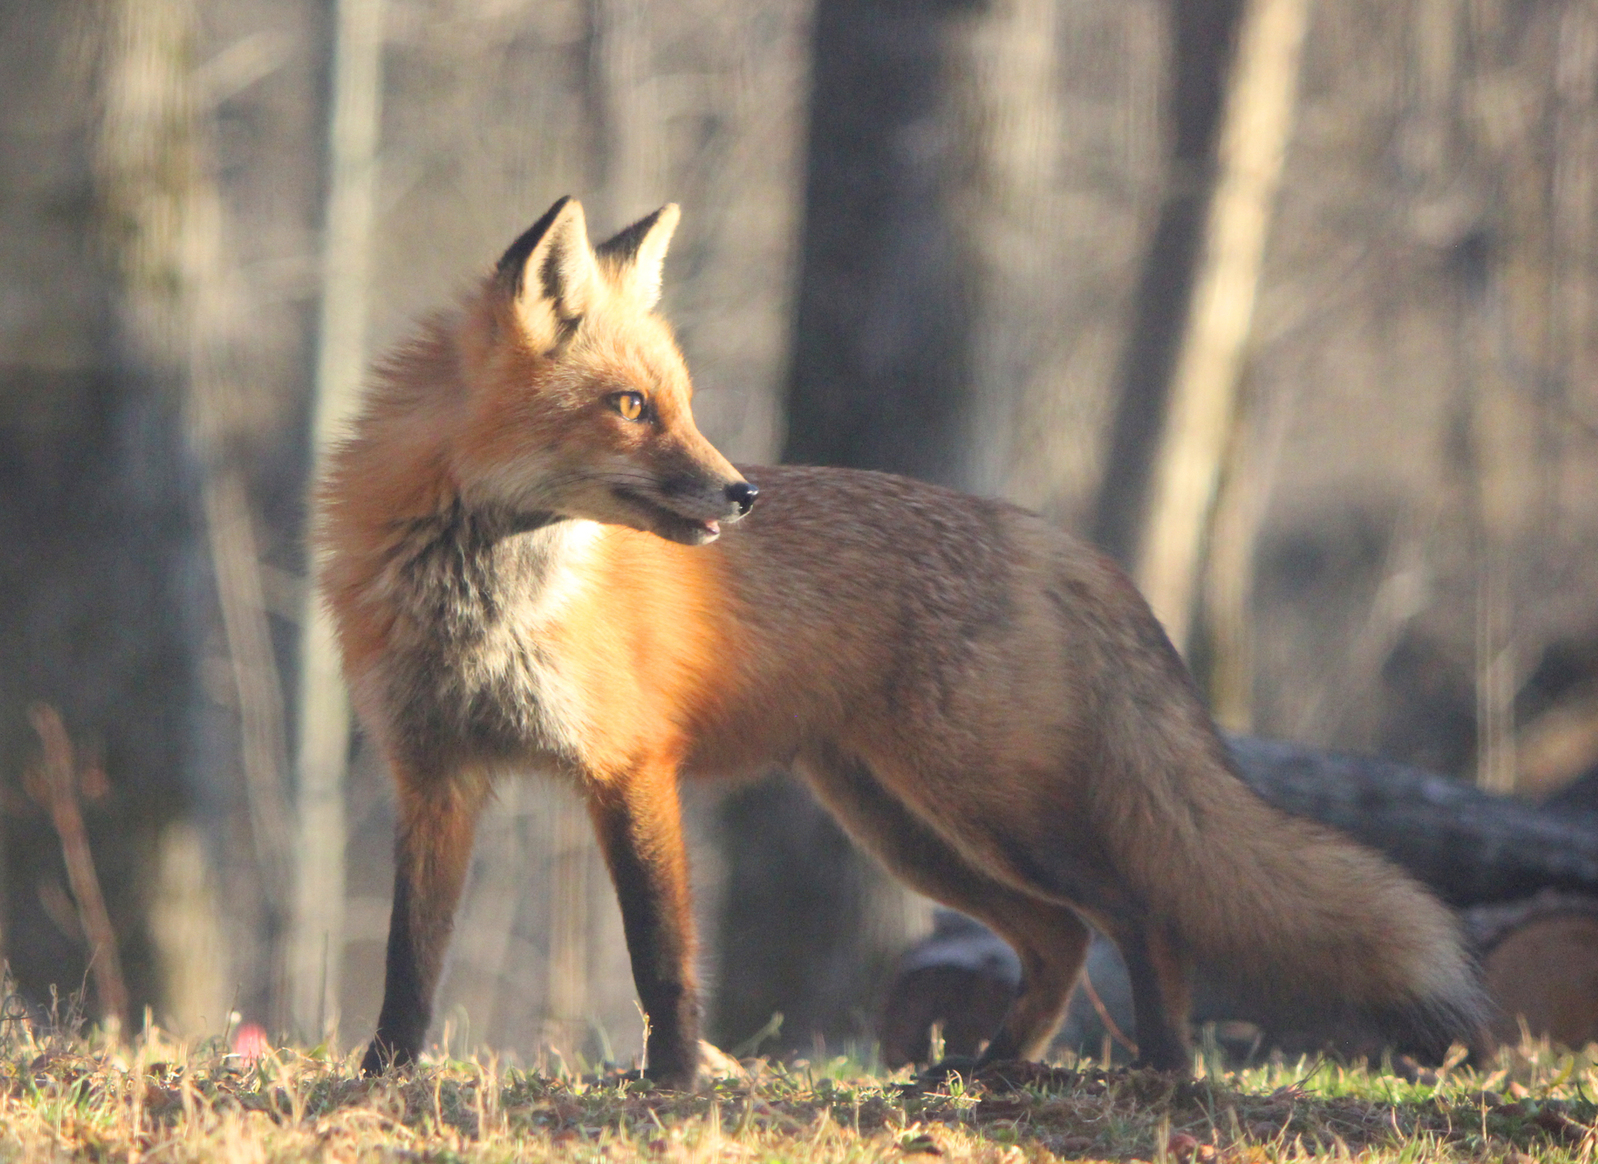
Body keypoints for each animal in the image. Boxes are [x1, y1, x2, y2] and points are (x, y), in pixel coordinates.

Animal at [321, 197, 1482, 1080]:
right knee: (1059, 935)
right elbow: (408, 963)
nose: (741, 494)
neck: (484, 596)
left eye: (678, 405)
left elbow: (661, 959)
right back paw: (996, 1067)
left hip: (986, 808)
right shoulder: (434, 777)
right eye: (630, 406)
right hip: (904, 828)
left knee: (1139, 911)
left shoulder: (631, 769)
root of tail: (1047, 535)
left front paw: (673, 1084)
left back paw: (1162, 1071)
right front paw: (383, 1077)